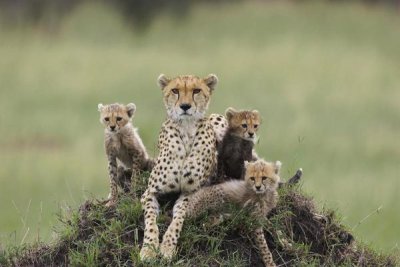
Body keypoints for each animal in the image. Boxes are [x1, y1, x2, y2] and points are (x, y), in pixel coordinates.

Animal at [140, 74, 222, 260]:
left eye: (196, 90)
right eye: (175, 90)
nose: (185, 106)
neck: (186, 130)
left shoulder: (189, 193)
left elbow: (177, 220)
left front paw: (167, 247)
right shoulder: (149, 193)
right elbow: (150, 222)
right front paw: (149, 249)